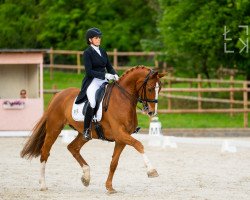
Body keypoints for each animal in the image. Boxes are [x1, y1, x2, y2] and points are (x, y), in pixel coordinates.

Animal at [20, 66, 166, 194]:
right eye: (150, 88)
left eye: (159, 88)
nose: (151, 112)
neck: (123, 99)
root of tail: (58, 94)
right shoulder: (120, 134)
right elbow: (139, 145)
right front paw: (152, 171)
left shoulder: (121, 139)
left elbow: (114, 163)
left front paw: (109, 187)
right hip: (54, 129)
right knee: (45, 152)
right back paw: (43, 185)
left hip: (85, 134)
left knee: (72, 147)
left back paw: (86, 177)